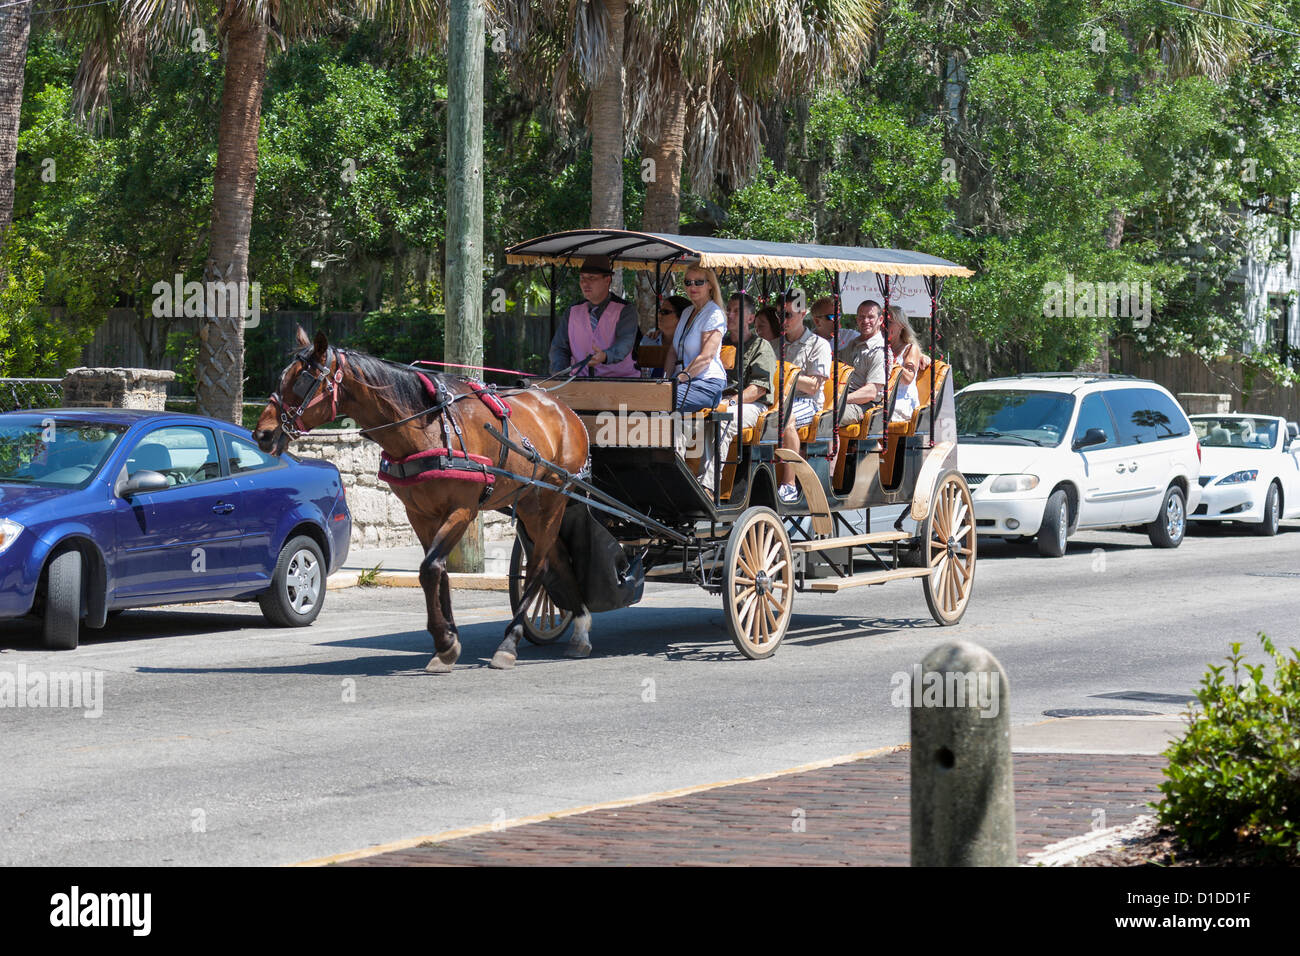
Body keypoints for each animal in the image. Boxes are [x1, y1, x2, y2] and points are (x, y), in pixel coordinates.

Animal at [252, 329, 595, 671]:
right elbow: (437, 571)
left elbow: (429, 568)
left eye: (301, 380)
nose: (262, 434)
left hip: (551, 499)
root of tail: (564, 409)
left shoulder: (463, 509)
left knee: (539, 565)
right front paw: (447, 642)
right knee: (557, 557)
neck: (428, 427)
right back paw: (579, 626)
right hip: (526, 502)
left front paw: (444, 642)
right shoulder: (419, 513)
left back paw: (510, 642)